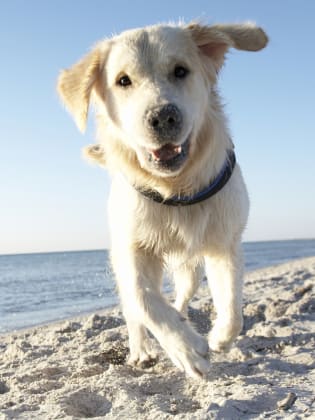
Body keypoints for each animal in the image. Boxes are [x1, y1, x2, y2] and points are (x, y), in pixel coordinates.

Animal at [58, 21, 268, 378]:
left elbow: (233, 309)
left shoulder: (224, 242)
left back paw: (182, 316)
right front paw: (186, 350)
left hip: (191, 269)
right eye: (123, 80)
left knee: (181, 296)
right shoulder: (130, 250)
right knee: (135, 313)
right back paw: (141, 351)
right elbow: (144, 300)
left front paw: (218, 339)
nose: (162, 117)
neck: (175, 190)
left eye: (180, 71)